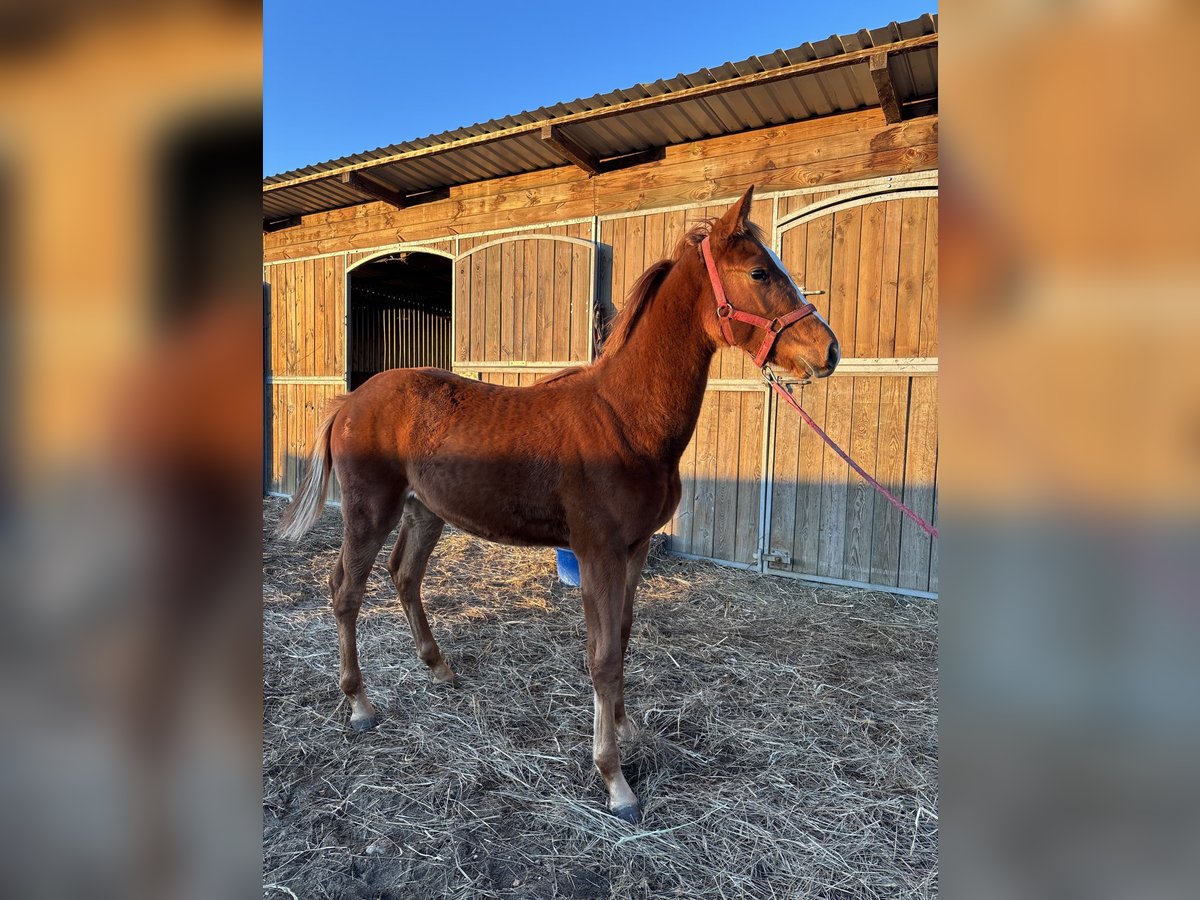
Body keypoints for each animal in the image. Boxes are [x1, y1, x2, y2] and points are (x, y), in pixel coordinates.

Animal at [276, 187, 840, 823]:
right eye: (760, 272)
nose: (829, 350)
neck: (625, 419)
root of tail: (350, 400)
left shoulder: (634, 550)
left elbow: (622, 638)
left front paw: (628, 729)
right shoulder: (597, 553)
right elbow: (603, 657)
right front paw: (615, 780)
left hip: (426, 511)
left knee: (405, 576)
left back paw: (439, 668)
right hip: (371, 511)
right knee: (345, 591)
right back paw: (360, 705)